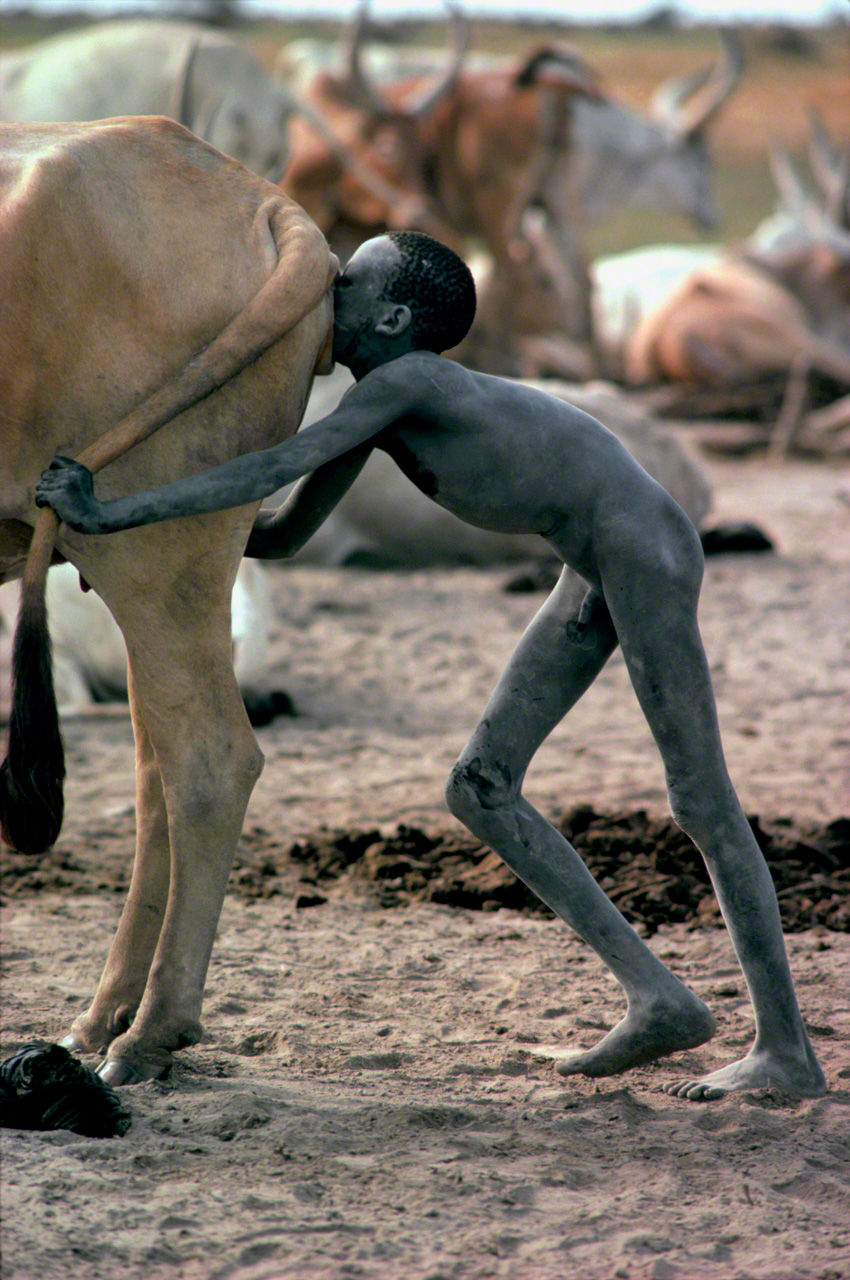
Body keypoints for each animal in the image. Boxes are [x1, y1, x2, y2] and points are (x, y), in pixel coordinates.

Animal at [0, 116, 336, 1084]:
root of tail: (269, 202)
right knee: (160, 779)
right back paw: (104, 1015)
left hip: (157, 559)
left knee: (210, 764)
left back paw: (151, 1029)